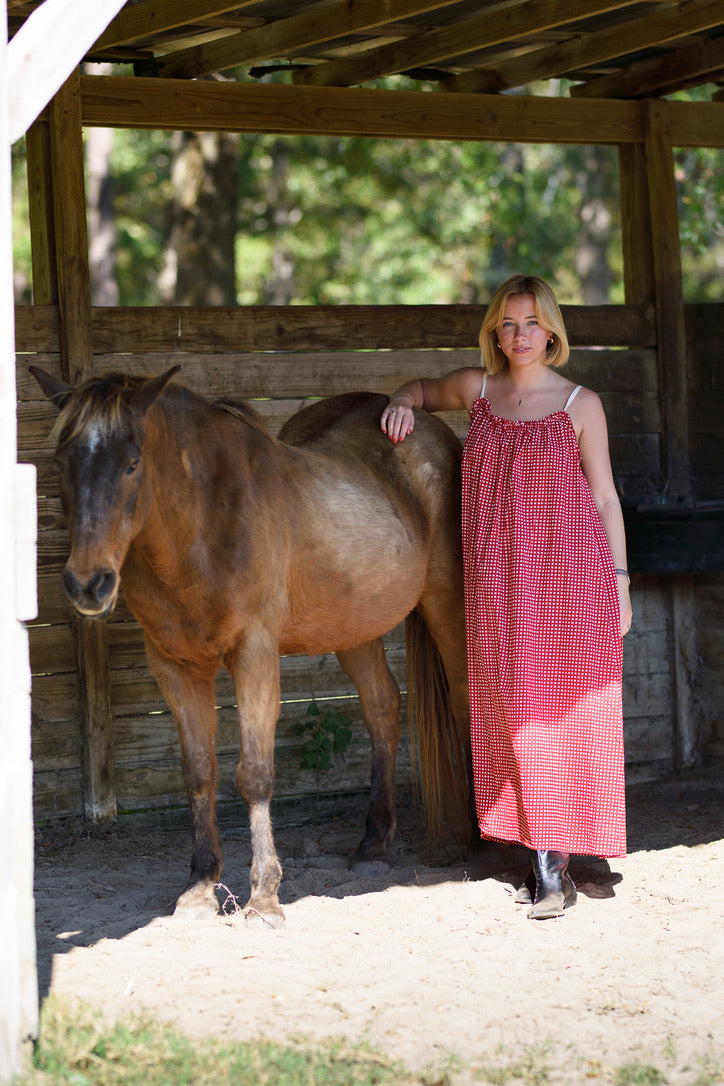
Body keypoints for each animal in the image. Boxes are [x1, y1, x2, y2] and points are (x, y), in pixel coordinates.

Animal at [31, 367, 471, 925]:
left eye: (132, 463)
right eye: (61, 463)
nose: (88, 584)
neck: (203, 526)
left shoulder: (254, 655)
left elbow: (255, 773)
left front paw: (264, 896)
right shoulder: (173, 667)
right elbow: (199, 773)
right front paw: (200, 886)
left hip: (445, 604)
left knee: (462, 699)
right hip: (354, 626)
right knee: (382, 708)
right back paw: (373, 843)